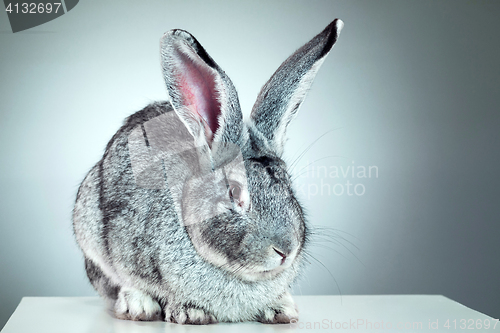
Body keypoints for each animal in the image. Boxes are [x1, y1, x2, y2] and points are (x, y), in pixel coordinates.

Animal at [73, 18, 344, 324]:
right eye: (233, 191)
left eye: (288, 187)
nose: (286, 250)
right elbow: (129, 278)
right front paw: (189, 312)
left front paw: (282, 310)